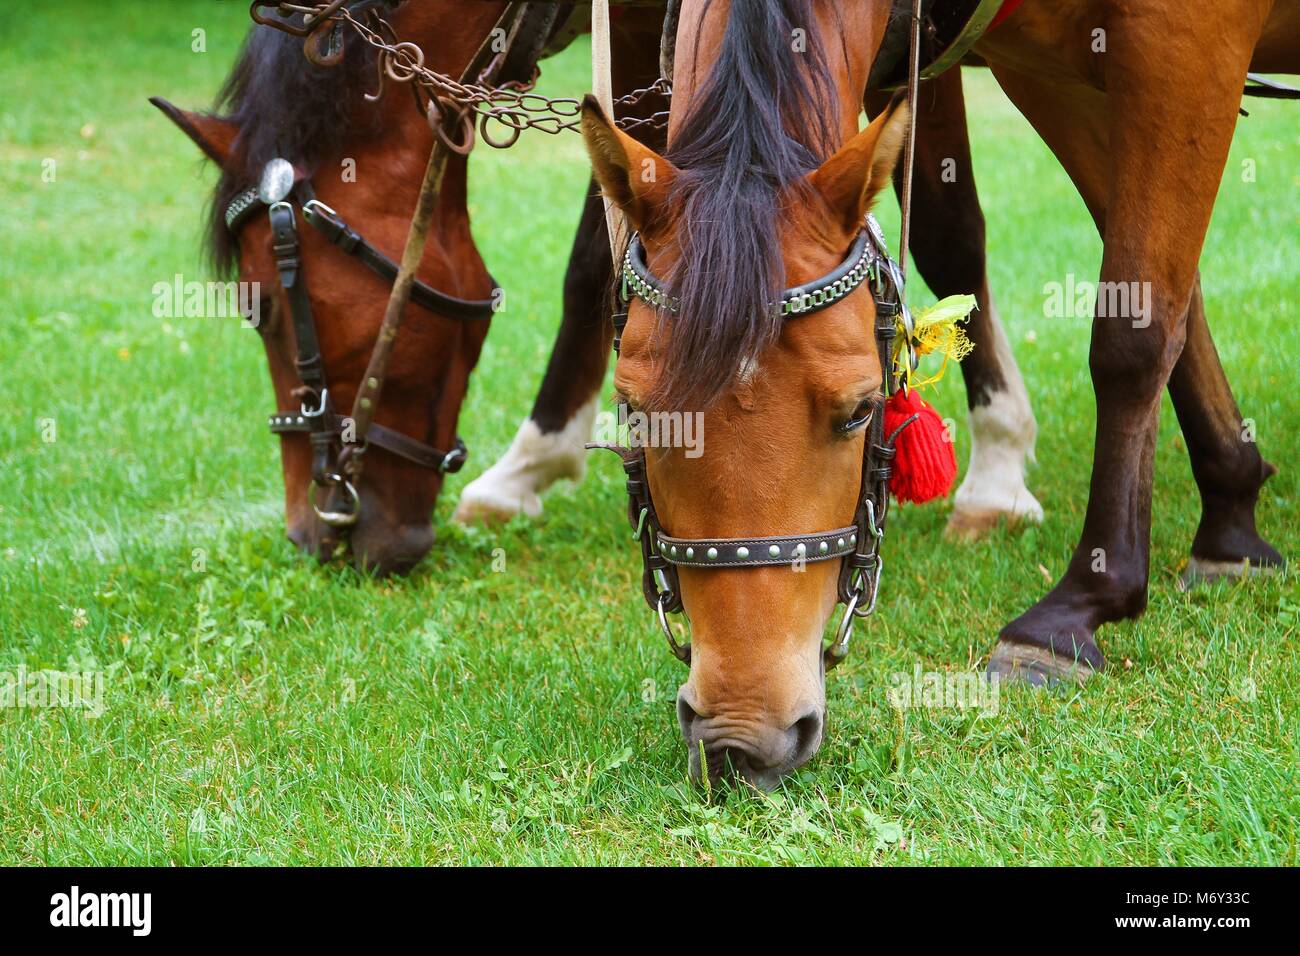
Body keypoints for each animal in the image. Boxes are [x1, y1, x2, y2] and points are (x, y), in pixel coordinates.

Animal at [574, 0, 1290, 786]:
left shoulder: (1185, 48)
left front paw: (1077, 609)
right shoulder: (1052, 76)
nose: (740, 734)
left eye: (862, 410)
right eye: (639, 416)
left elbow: (1135, 328)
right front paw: (1231, 510)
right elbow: (1167, 292)